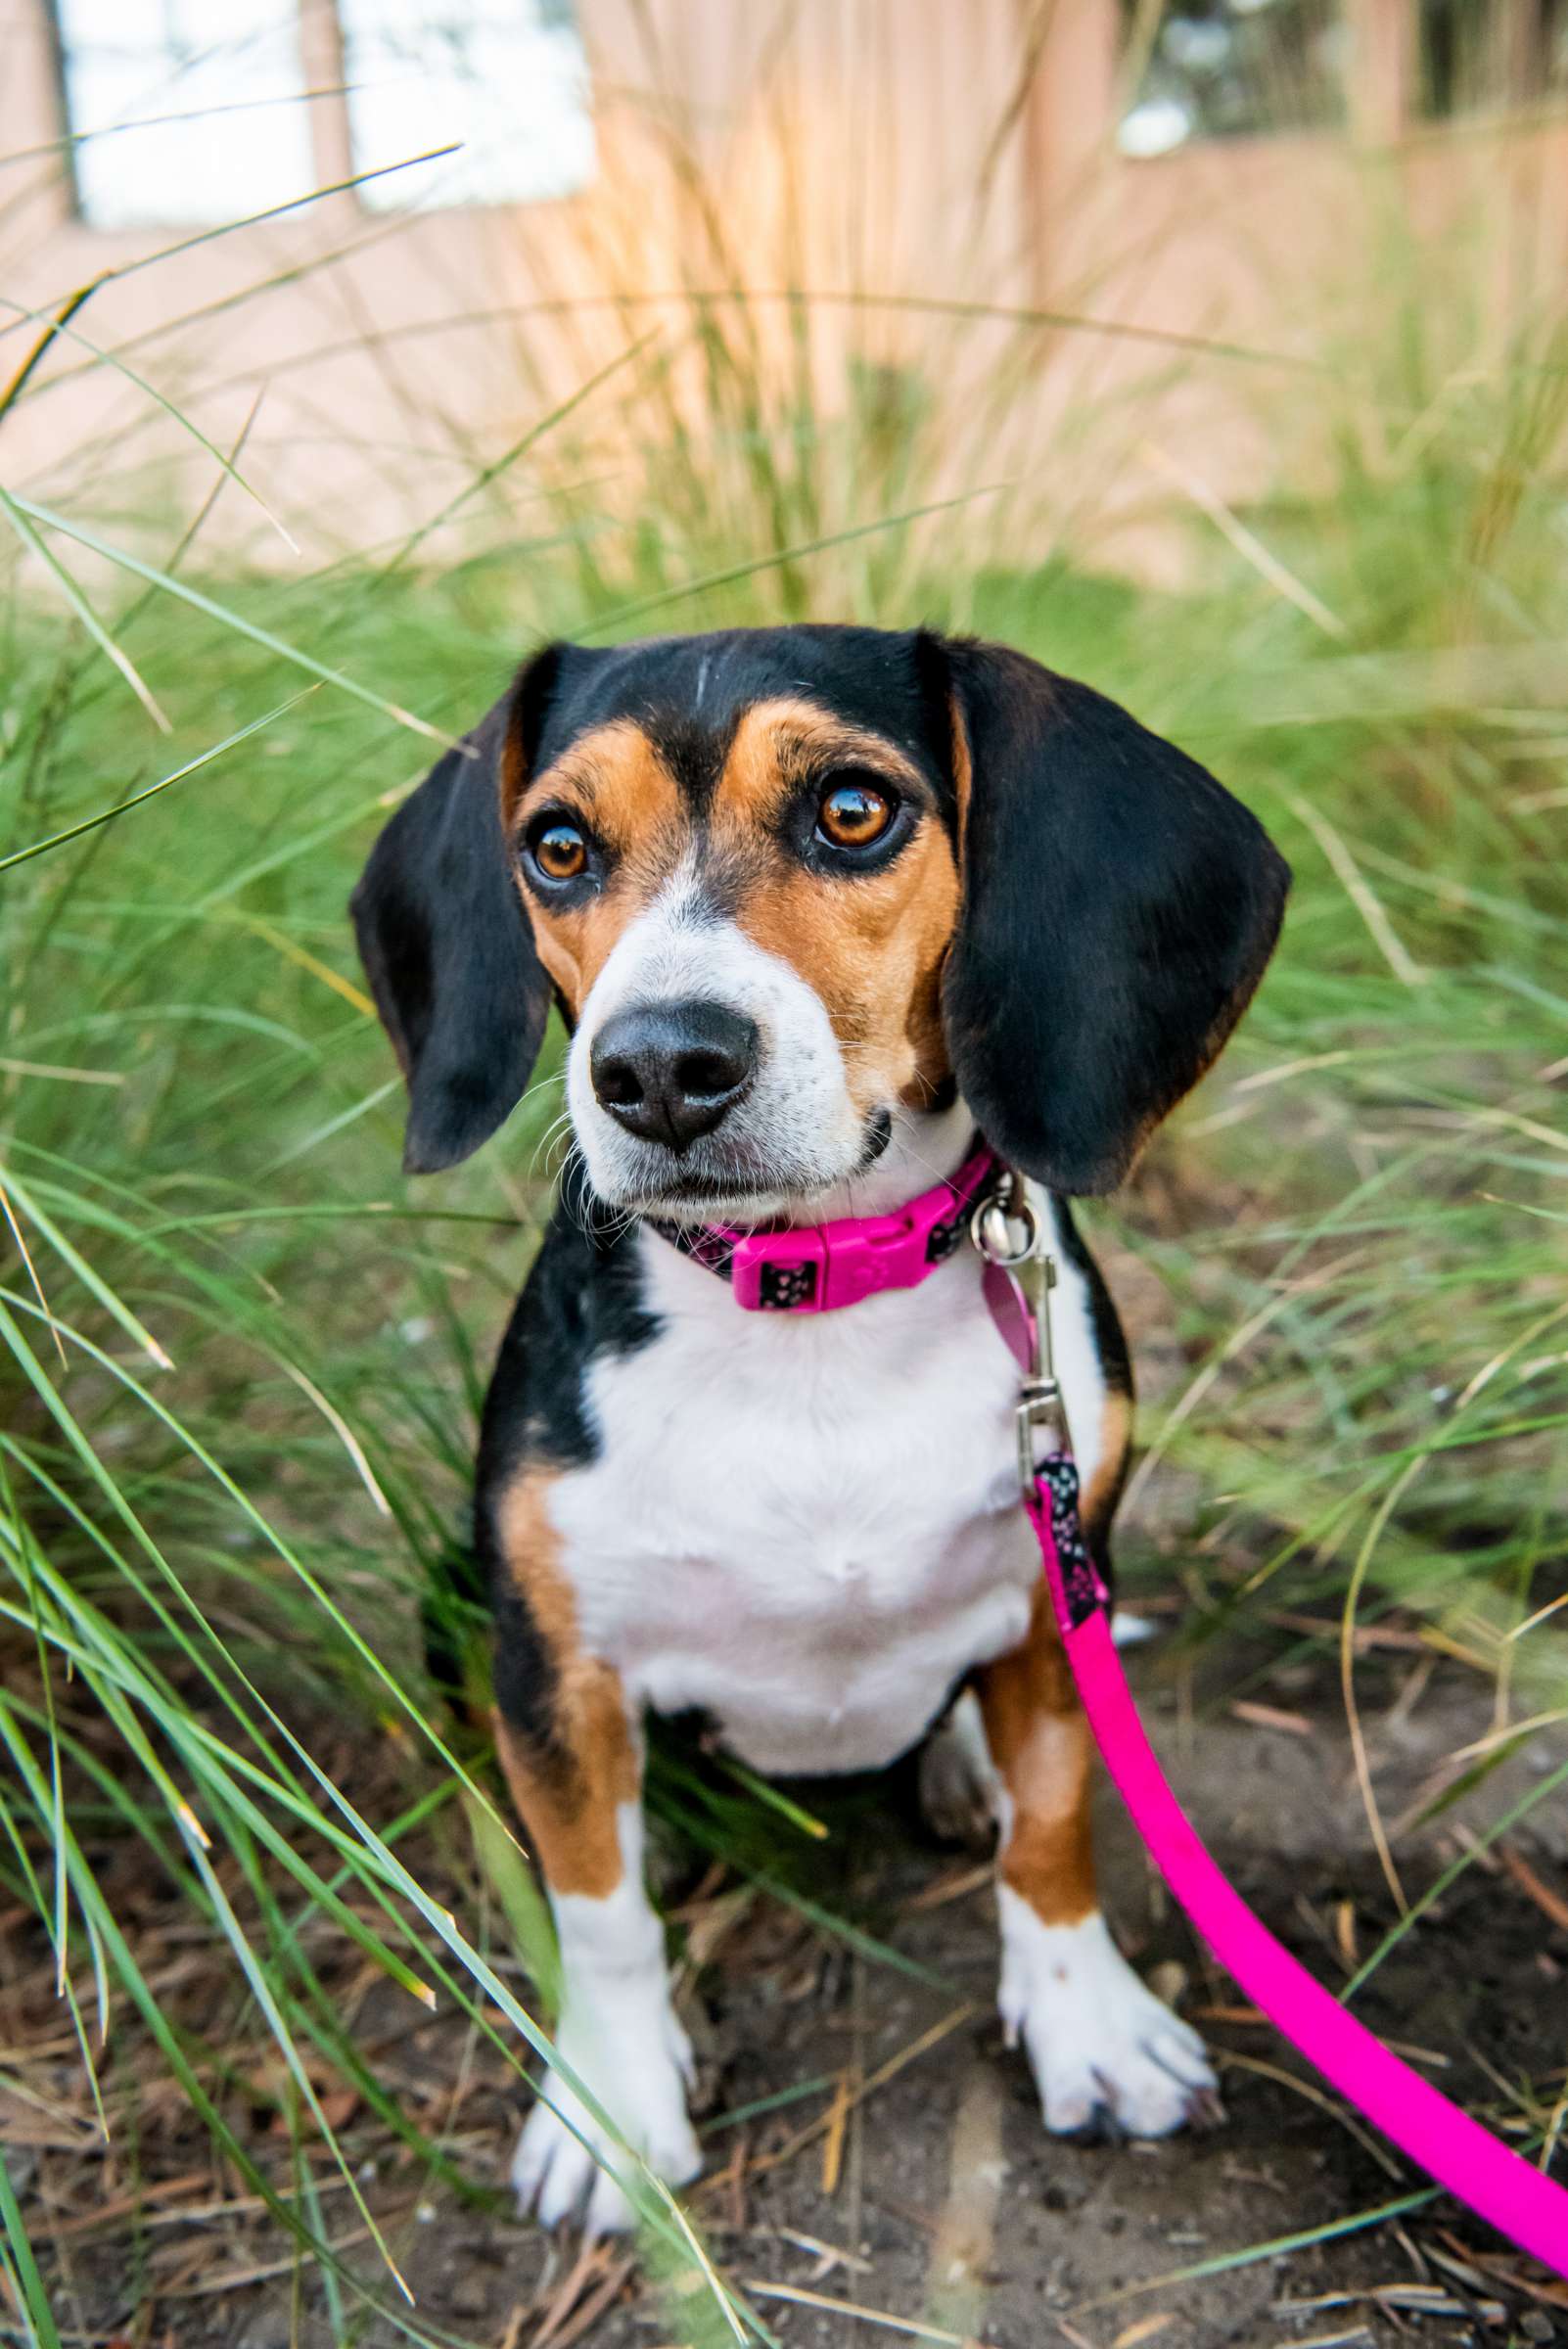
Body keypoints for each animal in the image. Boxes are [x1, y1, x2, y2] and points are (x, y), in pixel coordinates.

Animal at [351, 624, 1286, 2235]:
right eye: (556, 845)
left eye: (853, 810)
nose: (659, 1068)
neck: (813, 1304)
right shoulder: (557, 1664)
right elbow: (600, 1910)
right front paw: (615, 2110)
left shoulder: (1062, 1581)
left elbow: (1057, 1821)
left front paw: (1088, 2027)